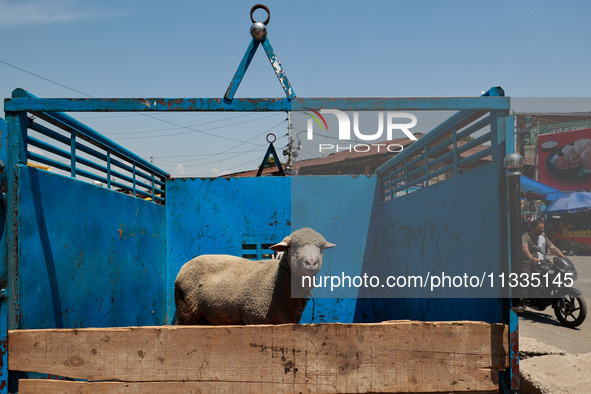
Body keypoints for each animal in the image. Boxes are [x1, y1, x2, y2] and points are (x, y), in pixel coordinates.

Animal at [173, 226, 336, 324]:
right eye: (292, 247)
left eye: (321, 248)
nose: (311, 262)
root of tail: (184, 266)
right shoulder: (254, 317)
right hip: (187, 310)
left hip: (205, 317)